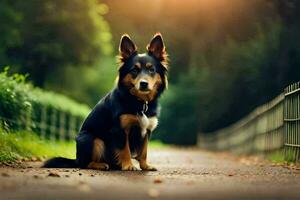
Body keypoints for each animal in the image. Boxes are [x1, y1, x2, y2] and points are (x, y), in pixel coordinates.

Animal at [42, 33, 169, 171]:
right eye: (134, 70)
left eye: (152, 70)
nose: (143, 84)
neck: (139, 101)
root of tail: (76, 159)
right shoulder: (119, 130)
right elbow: (125, 149)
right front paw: (128, 165)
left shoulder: (147, 130)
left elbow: (144, 150)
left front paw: (145, 166)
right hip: (90, 138)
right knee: (85, 164)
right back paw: (101, 164)